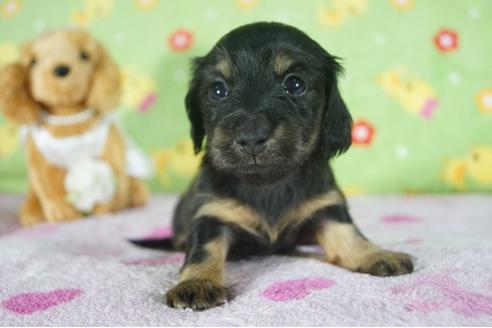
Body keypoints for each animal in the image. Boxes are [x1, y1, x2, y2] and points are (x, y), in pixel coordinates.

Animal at [133, 22, 414, 310]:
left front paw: (376, 254)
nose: (251, 136)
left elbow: (349, 233)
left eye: (295, 84)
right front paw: (197, 283)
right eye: (217, 90)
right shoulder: (211, 214)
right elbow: (204, 250)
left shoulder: (325, 206)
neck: (267, 182)